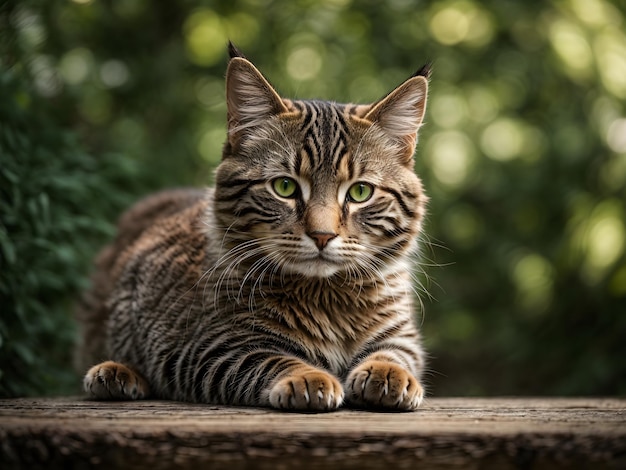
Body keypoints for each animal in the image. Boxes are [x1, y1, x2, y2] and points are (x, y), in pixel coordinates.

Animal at [75, 44, 428, 412]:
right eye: (285, 187)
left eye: (360, 192)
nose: (322, 235)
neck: (328, 296)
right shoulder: (213, 346)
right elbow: (269, 359)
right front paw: (307, 376)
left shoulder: (402, 336)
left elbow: (396, 354)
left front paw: (389, 373)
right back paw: (115, 372)